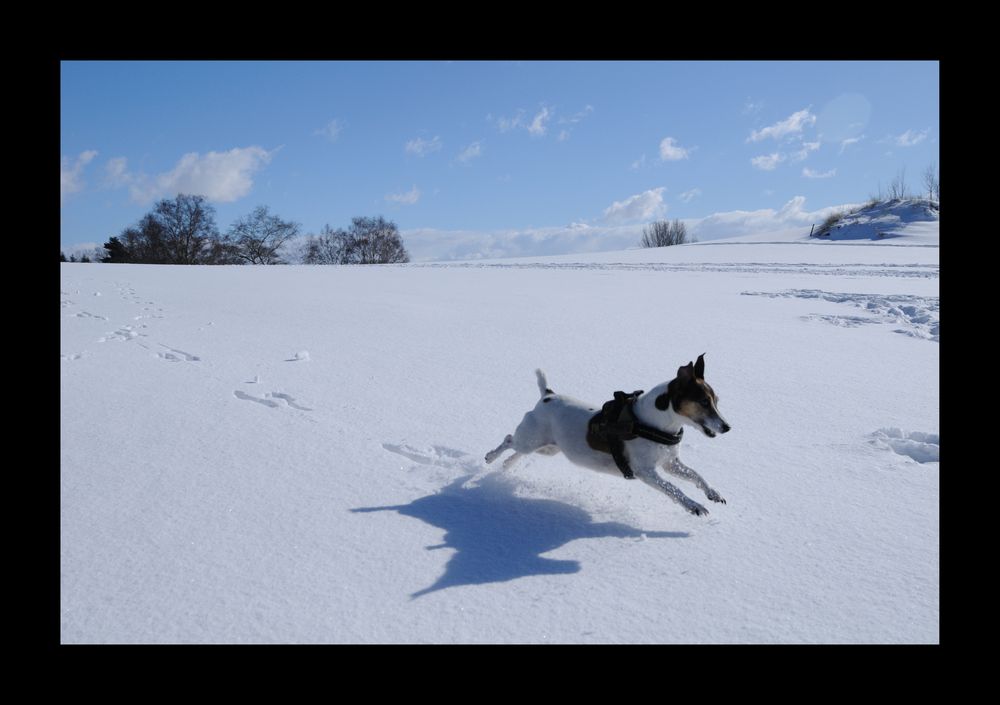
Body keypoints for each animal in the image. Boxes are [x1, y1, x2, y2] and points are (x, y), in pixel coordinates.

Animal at [486, 354, 732, 516]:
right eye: (704, 402)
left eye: (716, 401)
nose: (727, 427)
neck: (657, 424)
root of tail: (547, 396)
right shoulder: (646, 472)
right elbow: (674, 489)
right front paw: (694, 506)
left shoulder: (670, 463)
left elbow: (696, 475)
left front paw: (713, 493)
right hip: (530, 438)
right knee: (509, 440)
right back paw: (491, 457)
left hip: (547, 448)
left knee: (517, 451)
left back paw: (507, 466)